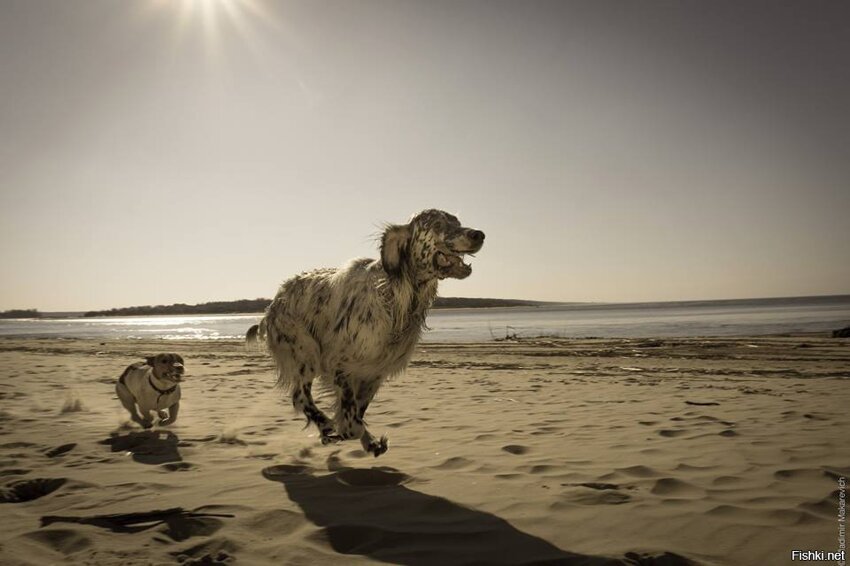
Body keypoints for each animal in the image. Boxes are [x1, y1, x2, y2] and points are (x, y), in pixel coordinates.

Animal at [250, 211, 484, 460]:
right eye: (438, 224)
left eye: (457, 221)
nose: (479, 234)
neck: (396, 295)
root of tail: (273, 304)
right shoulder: (342, 366)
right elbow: (351, 424)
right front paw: (347, 433)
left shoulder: (375, 371)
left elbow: (357, 414)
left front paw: (368, 442)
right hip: (305, 353)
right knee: (300, 396)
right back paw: (324, 425)